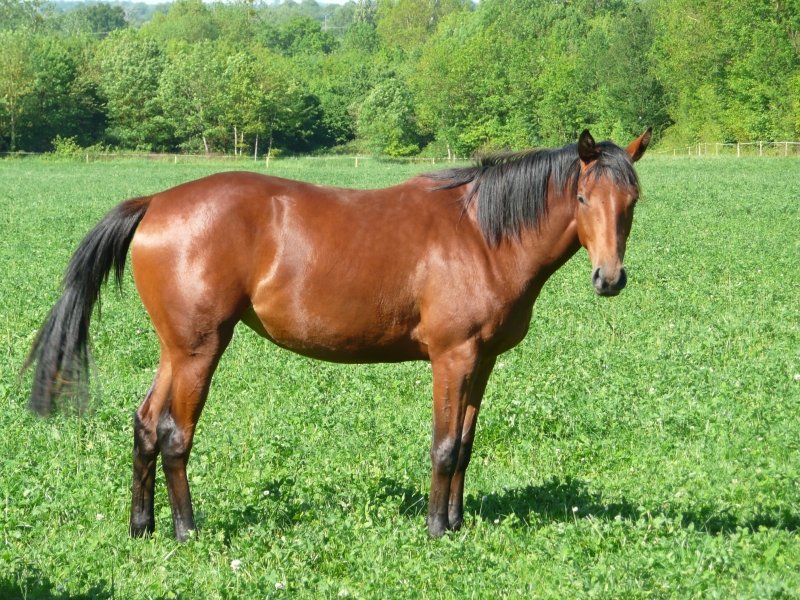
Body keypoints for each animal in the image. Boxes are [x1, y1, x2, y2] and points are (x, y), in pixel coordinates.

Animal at [26, 128, 651, 540]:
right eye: (581, 197)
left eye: (633, 200)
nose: (610, 278)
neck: (481, 233)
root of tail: (156, 202)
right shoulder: (452, 357)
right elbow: (445, 446)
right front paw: (436, 529)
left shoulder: (483, 360)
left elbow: (467, 445)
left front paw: (455, 522)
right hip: (200, 351)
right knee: (175, 434)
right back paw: (185, 531)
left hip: (175, 351)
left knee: (145, 425)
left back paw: (142, 526)